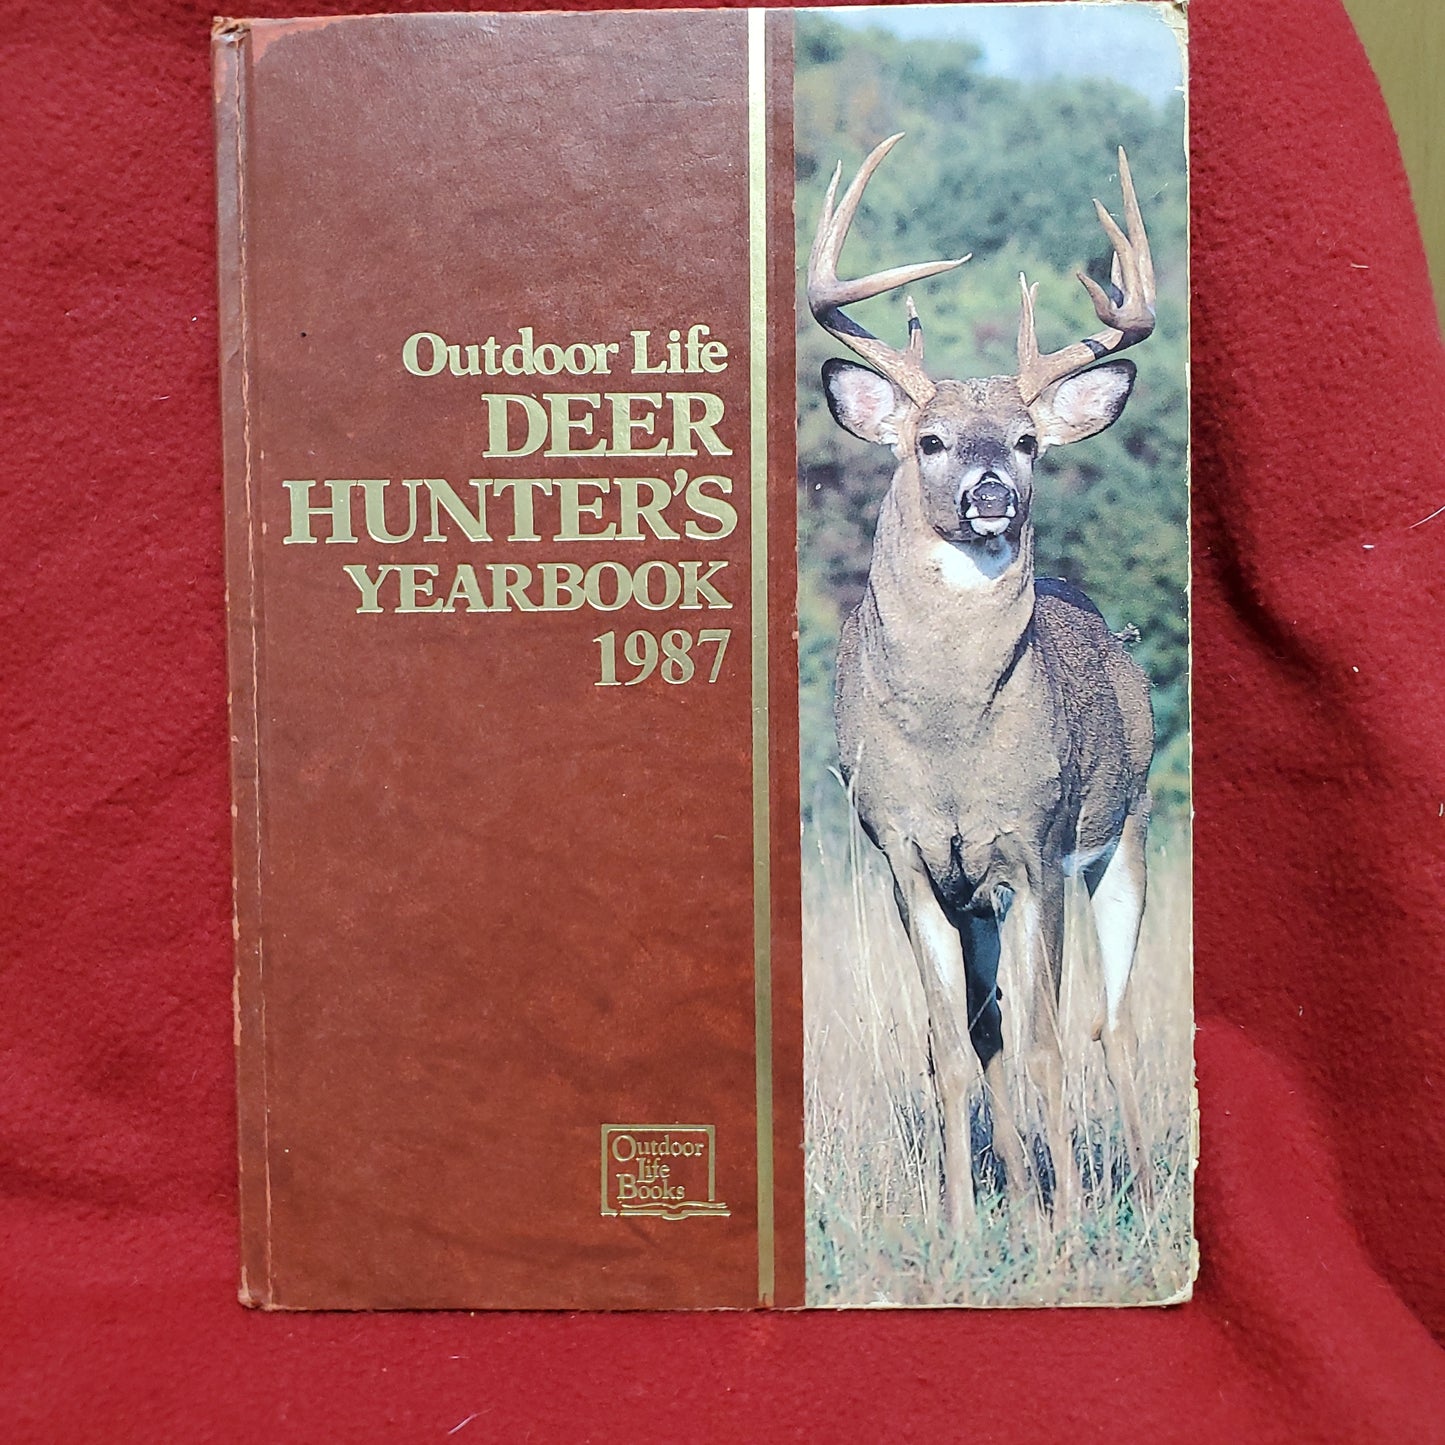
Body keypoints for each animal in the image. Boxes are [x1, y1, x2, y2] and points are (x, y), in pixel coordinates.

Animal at [808, 134, 1158, 1233]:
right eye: (927, 439)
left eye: (1027, 438)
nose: (990, 489)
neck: (950, 739)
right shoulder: (908, 855)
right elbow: (954, 1051)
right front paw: (965, 1223)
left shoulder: (1034, 845)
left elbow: (1047, 1040)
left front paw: (1070, 1227)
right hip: (978, 903)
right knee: (992, 1032)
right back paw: (1018, 1179)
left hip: (1124, 833)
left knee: (1111, 1023)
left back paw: (1128, 1190)